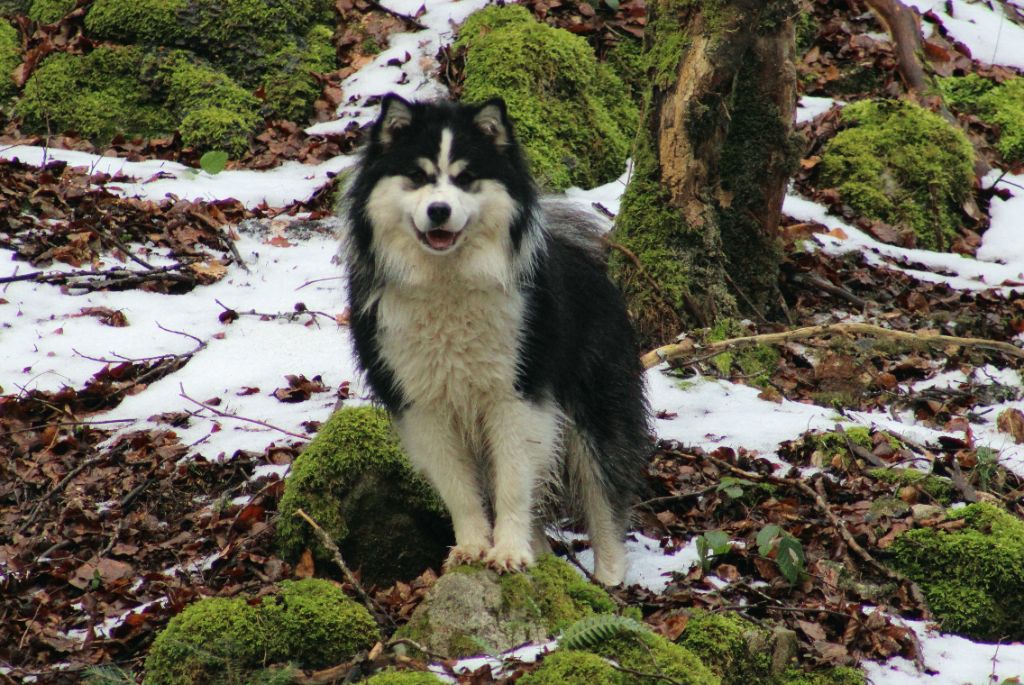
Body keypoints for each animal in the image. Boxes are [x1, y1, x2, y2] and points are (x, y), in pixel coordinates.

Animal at [339, 93, 651, 581]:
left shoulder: (515, 398)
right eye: (417, 176)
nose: (440, 211)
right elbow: (460, 490)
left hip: (595, 407)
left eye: (466, 178)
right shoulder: (424, 407)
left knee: (605, 494)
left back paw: (608, 578)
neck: (447, 283)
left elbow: (513, 485)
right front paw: (471, 548)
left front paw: (508, 552)